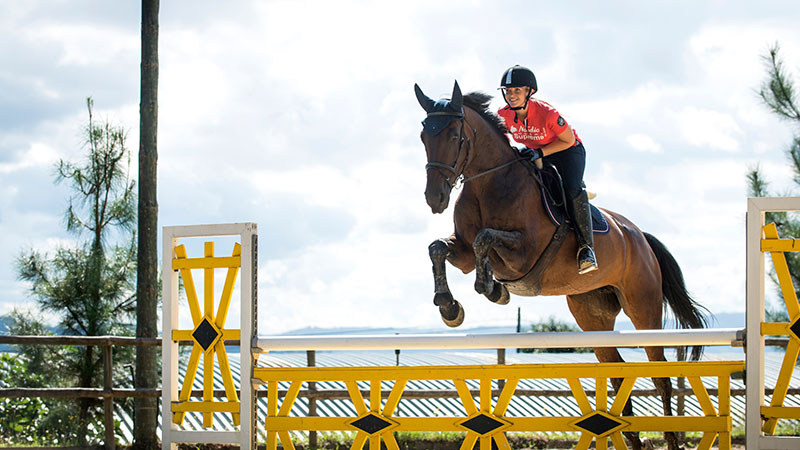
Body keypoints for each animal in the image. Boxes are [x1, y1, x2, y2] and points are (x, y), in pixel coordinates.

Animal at [412, 81, 708, 450]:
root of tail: (639, 236)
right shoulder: (463, 252)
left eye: (454, 136)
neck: (487, 183)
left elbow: (486, 239)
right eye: (423, 136)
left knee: (660, 375)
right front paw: (450, 306)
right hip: (592, 315)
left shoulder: (526, 253)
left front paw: (491, 288)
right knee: (617, 374)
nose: (434, 199)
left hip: (644, 307)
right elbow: (438, 248)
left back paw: (669, 437)